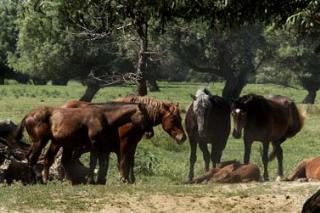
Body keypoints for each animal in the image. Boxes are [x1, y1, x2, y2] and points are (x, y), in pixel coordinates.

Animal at [15, 102, 153, 184]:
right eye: (145, 115)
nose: (150, 133)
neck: (103, 116)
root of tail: (29, 115)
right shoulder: (95, 143)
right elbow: (94, 162)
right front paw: (90, 180)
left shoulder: (101, 146)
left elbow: (99, 162)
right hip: (40, 142)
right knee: (32, 158)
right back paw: (35, 180)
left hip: (55, 143)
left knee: (44, 158)